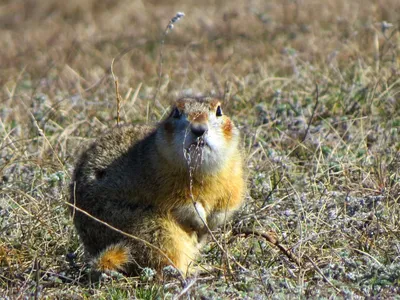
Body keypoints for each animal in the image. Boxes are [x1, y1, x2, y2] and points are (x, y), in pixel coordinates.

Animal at [71, 96, 247, 276]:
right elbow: (183, 205)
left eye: (219, 110)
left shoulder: (234, 175)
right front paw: (200, 222)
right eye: (176, 112)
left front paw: (210, 225)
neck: (201, 169)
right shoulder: (165, 182)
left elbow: (228, 203)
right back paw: (196, 270)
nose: (199, 129)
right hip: (156, 232)